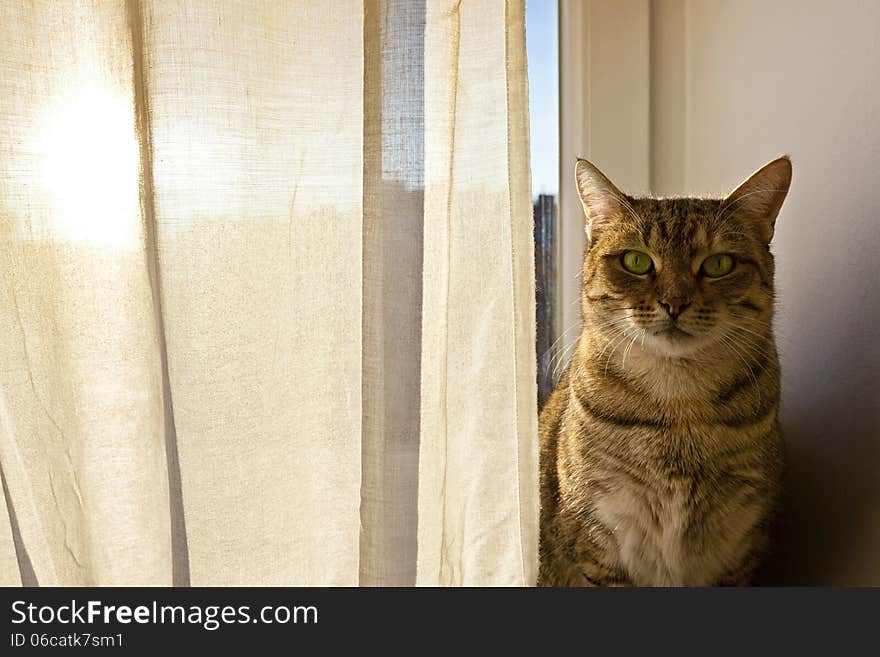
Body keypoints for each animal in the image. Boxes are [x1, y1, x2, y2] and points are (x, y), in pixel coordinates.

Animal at [540, 158, 796, 584]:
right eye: (637, 261)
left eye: (718, 264)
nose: (674, 302)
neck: (678, 407)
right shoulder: (598, 537)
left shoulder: (740, 544)